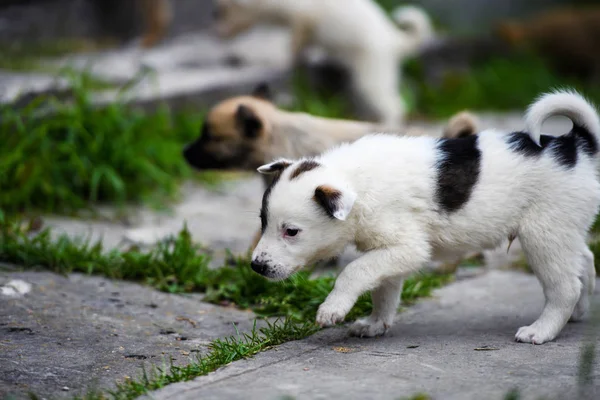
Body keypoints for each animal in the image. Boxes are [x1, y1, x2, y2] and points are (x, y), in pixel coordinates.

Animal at [214, 0, 436, 126]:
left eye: (223, 11)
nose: (217, 30)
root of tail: (393, 37)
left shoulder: (304, 18)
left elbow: (296, 42)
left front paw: (289, 61)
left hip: (372, 72)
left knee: (393, 104)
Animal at [251, 90, 600, 344]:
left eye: (291, 231)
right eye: (263, 222)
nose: (256, 267)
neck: (357, 182)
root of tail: (575, 146)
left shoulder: (408, 248)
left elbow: (353, 271)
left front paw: (332, 308)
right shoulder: (388, 251)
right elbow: (382, 289)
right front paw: (375, 324)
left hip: (543, 234)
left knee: (564, 286)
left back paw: (542, 330)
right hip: (563, 229)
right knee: (584, 260)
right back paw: (580, 312)